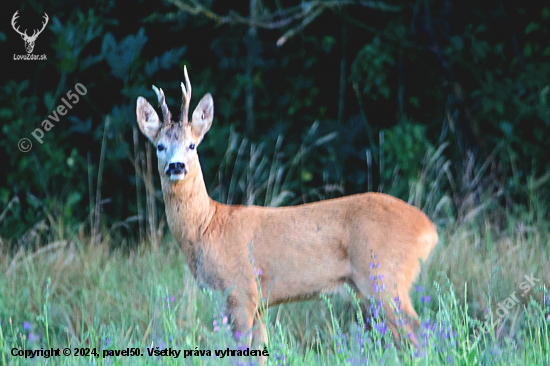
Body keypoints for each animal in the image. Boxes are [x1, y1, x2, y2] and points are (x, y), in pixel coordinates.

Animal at [137, 66, 440, 354]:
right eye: (160, 146)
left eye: (192, 144)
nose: (176, 166)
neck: (207, 227)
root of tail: (429, 229)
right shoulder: (256, 302)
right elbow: (260, 351)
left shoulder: (240, 291)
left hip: (384, 277)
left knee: (418, 332)